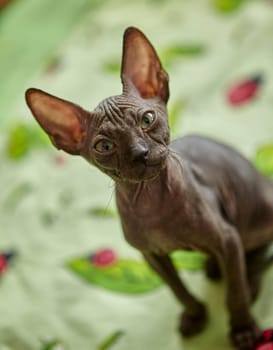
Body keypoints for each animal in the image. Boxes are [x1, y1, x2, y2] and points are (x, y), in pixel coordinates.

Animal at [25, 28, 272, 350]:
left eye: (147, 119)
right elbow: (178, 290)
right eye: (105, 146)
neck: (152, 202)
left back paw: (245, 279)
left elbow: (235, 293)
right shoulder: (152, 256)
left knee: (255, 258)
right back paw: (213, 267)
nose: (139, 153)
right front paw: (195, 316)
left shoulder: (227, 238)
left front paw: (242, 328)